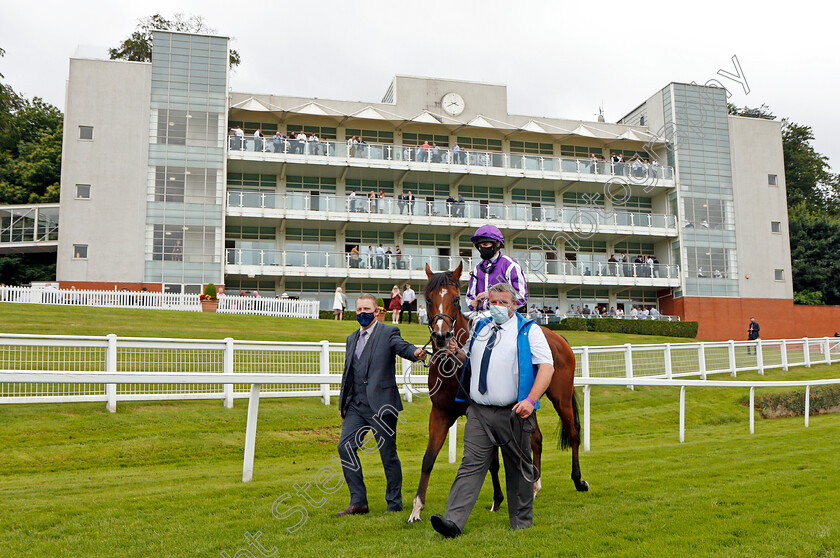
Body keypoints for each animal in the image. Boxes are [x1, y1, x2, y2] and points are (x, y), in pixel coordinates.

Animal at [406, 262, 584, 524]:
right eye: (428, 298)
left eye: (454, 298)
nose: (441, 336)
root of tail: (557, 337)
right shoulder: (440, 412)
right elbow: (429, 458)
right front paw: (417, 508)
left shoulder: (479, 412)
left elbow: (491, 461)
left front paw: (498, 499)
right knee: (536, 439)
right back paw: (534, 485)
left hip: (561, 398)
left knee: (572, 432)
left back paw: (578, 479)